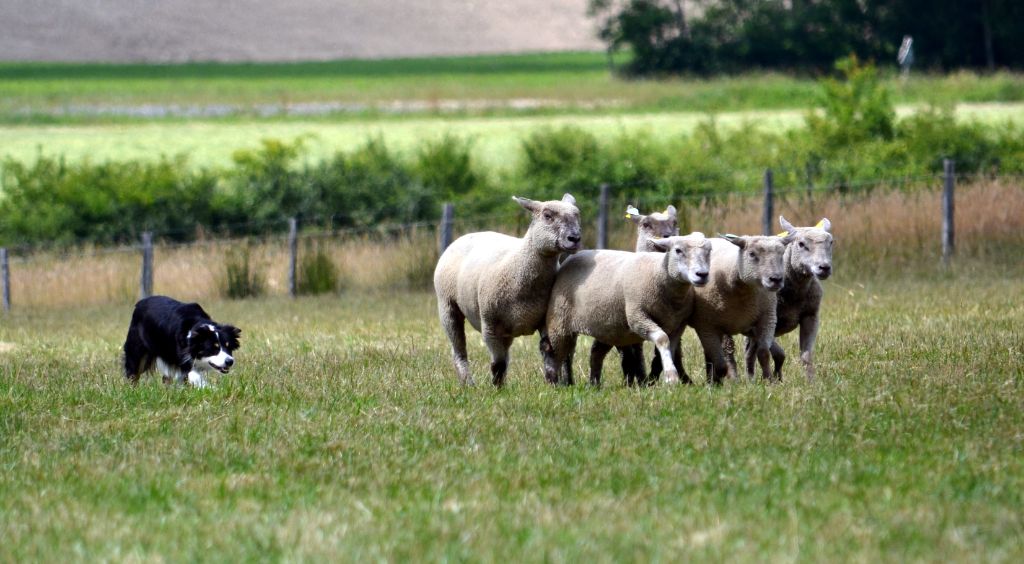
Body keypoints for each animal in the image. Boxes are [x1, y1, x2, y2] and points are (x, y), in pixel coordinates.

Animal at [432, 195, 581, 388]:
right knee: (459, 350)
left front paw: (555, 384)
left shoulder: (546, 320)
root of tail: (465, 236)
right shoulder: (490, 325)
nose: (575, 238)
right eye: (547, 215)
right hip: (447, 305)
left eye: (577, 215)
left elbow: (550, 351)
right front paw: (497, 389)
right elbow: (498, 363)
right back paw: (468, 384)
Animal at [544, 231, 712, 386]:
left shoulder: (677, 325)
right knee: (561, 353)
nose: (702, 274)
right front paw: (671, 377)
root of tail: (570, 259)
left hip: (608, 327)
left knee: (596, 353)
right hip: (560, 321)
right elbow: (662, 339)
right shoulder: (637, 317)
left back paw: (594, 383)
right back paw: (558, 383)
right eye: (678, 250)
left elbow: (669, 347)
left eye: (709, 251)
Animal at [688, 232, 790, 384]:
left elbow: (764, 353)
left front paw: (769, 381)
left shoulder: (767, 319)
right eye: (752, 254)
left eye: (782, 253)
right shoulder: (713, 323)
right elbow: (726, 353)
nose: (776, 279)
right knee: (720, 352)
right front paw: (727, 380)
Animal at [737, 218, 839, 382]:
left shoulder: (811, 317)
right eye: (801, 244)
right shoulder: (767, 322)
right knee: (749, 352)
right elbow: (780, 353)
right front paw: (776, 379)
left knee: (750, 351)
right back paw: (751, 379)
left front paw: (811, 382)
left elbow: (806, 355)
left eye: (831, 242)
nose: (824, 267)